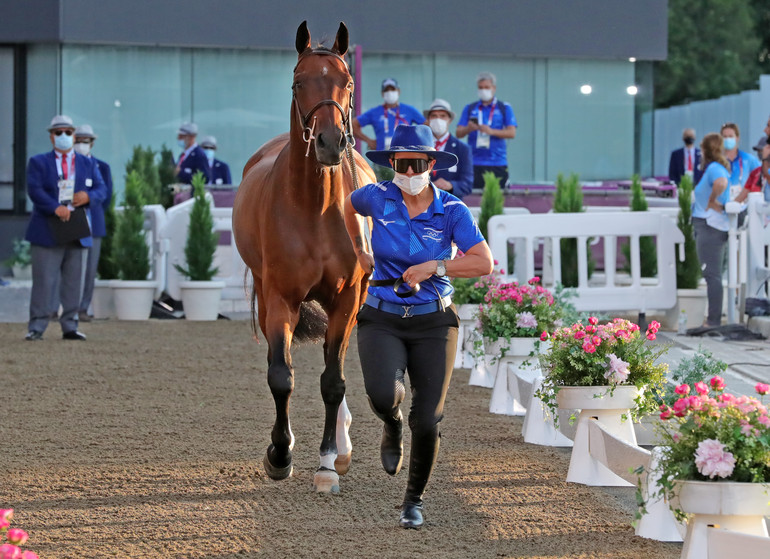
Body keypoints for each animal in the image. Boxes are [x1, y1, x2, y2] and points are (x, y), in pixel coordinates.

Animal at [232, 20, 376, 494]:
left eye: (347, 83)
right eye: (298, 82)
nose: (330, 142)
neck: (315, 208)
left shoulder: (347, 298)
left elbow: (333, 380)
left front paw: (329, 462)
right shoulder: (280, 298)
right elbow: (282, 376)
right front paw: (280, 453)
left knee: (339, 362)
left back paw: (342, 445)